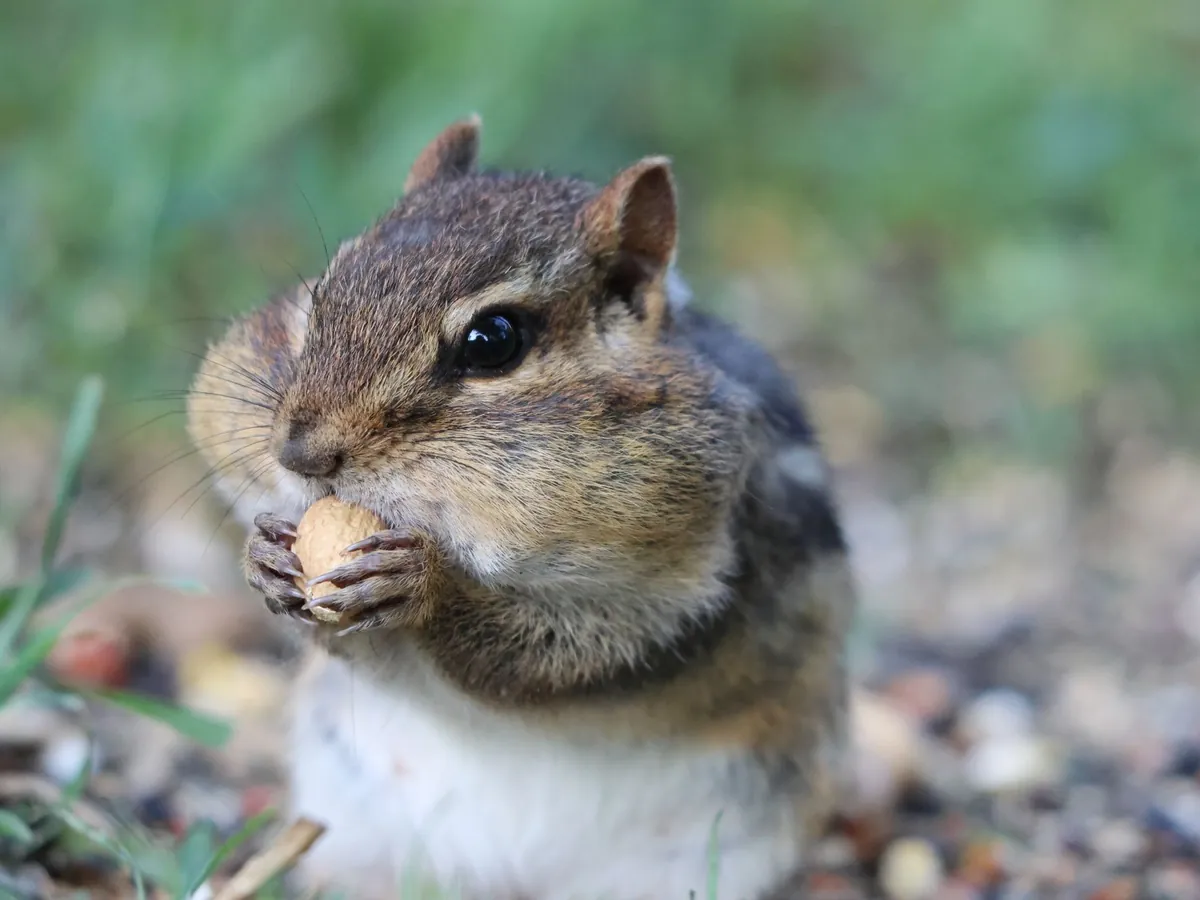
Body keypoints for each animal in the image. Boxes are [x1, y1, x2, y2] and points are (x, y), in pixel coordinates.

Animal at [186, 116, 858, 900]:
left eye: (493, 340)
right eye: (320, 294)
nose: (299, 452)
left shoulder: (688, 591)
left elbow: (569, 651)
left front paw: (426, 586)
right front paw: (262, 560)